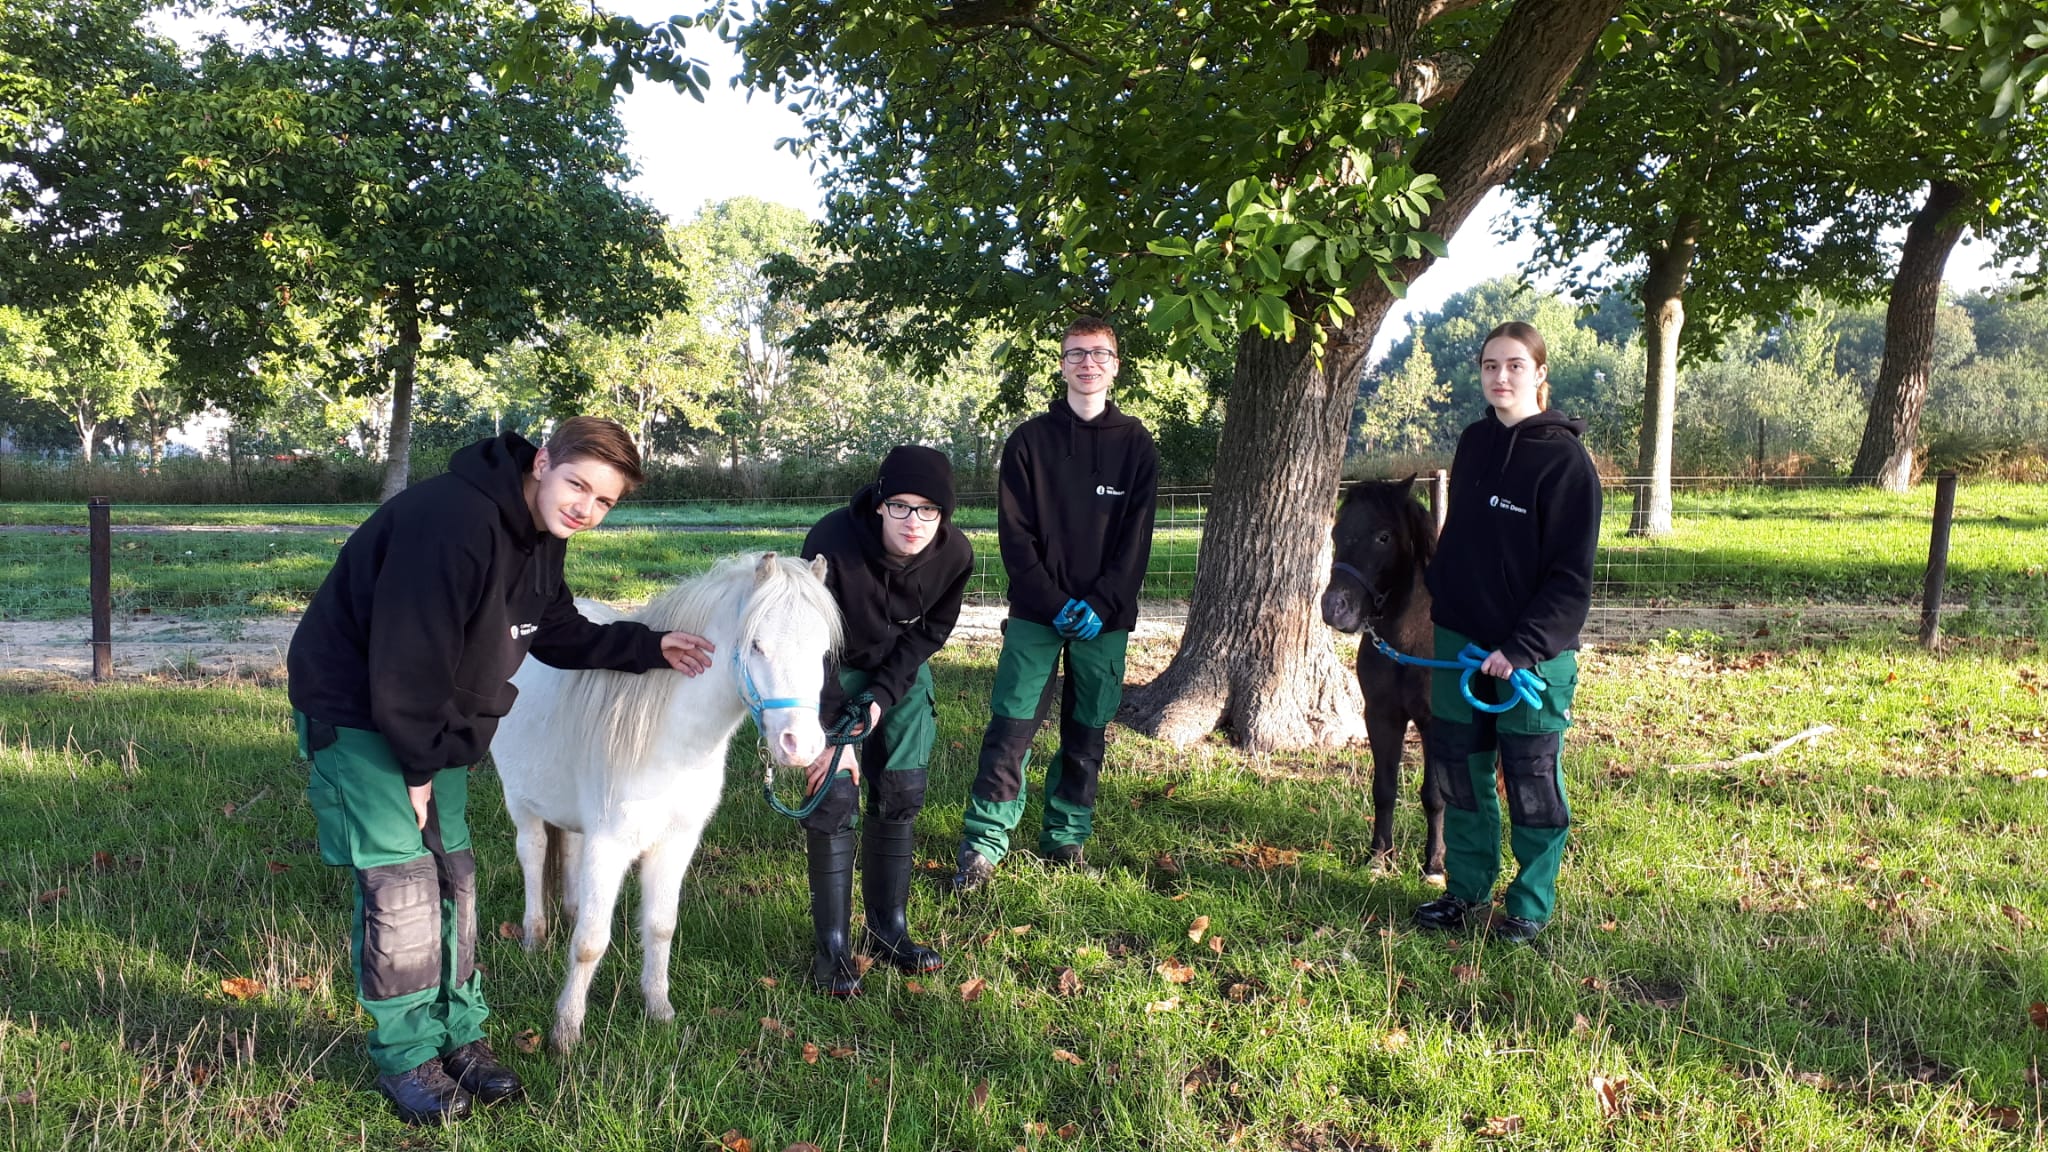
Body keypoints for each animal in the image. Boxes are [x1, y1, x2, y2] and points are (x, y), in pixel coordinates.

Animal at [493, 549, 839, 1049]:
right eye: (756, 645)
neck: (669, 742)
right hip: (521, 803)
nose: (801, 745)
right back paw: (534, 938)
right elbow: (590, 942)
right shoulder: (610, 845)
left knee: (569, 854)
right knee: (533, 855)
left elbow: (660, 926)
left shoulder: (676, 843)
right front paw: (566, 1031)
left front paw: (659, 1010)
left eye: (823, 653)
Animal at [1327, 475, 1441, 877]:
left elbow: (1433, 795)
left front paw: (1434, 865)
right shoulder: (1381, 717)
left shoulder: (1434, 723)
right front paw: (1378, 857)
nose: (1334, 608)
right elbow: (1384, 789)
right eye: (1336, 532)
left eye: (1383, 537)